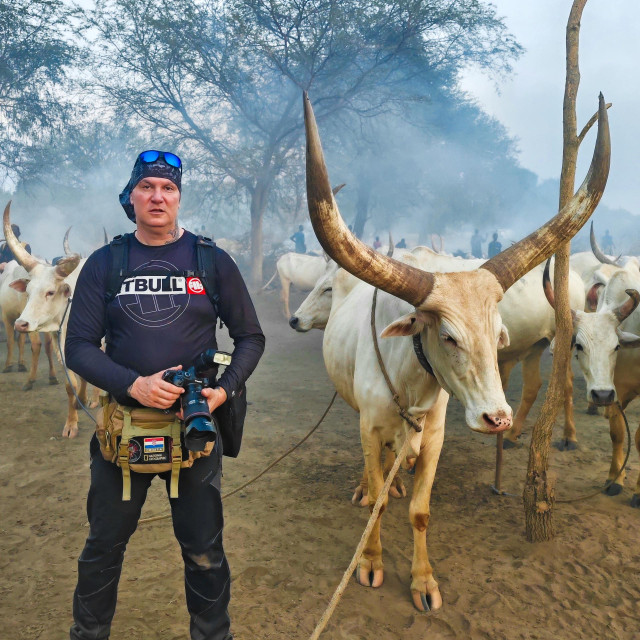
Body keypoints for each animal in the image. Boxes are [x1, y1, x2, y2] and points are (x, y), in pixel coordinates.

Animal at [3, 202, 88, 438]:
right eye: (28, 291)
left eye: (50, 292)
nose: (20, 324)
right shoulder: (63, 349)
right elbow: (71, 385)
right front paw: (71, 423)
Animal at [304, 90, 608, 608]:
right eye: (447, 336)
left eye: (497, 331)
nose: (497, 419)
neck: (409, 381)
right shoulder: (370, 426)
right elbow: (377, 503)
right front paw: (370, 561)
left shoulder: (436, 434)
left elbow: (421, 511)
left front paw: (424, 580)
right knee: (375, 474)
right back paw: (371, 485)